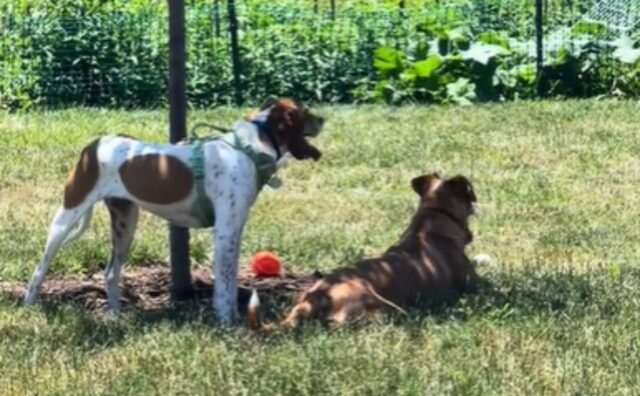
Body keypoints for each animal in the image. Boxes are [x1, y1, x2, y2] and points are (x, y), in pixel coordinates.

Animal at [23, 97, 324, 324]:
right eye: (303, 112)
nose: (323, 119)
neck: (248, 147)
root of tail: (93, 145)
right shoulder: (224, 233)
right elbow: (224, 287)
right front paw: (226, 322)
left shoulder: (234, 231)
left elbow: (229, 281)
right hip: (67, 216)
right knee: (39, 269)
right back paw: (28, 305)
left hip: (125, 223)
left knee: (110, 272)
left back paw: (117, 315)